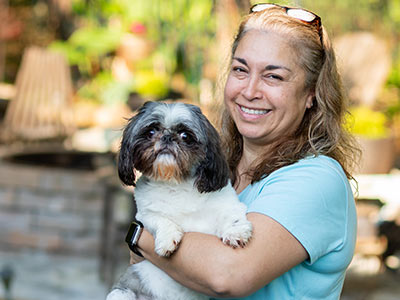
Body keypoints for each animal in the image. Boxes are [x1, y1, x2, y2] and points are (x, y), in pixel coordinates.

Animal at [106, 102, 253, 300]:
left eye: (185, 136)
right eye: (151, 132)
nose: (167, 137)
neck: (175, 183)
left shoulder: (225, 202)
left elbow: (231, 215)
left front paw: (235, 232)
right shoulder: (144, 214)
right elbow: (159, 219)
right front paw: (168, 239)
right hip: (122, 293)